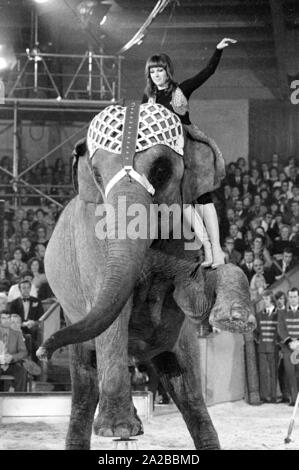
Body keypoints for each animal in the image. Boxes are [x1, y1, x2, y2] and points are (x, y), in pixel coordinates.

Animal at [37, 103, 256, 448]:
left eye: (161, 170)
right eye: (97, 175)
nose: (41, 351)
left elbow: (193, 298)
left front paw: (234, 318)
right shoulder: (92, 242)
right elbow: (113, 314)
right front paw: (117, 429)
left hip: (180, 344)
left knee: (189, 393)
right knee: (84, 386)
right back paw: (126, 425)